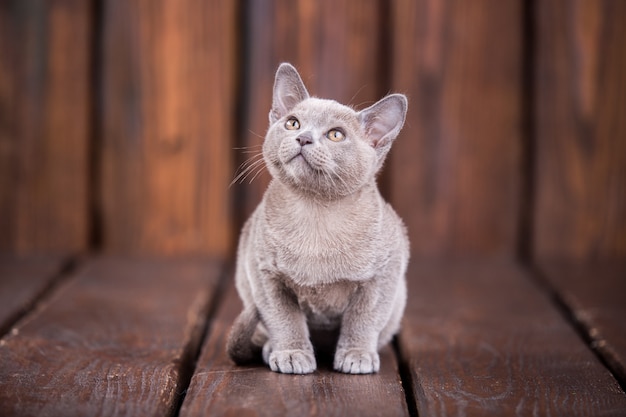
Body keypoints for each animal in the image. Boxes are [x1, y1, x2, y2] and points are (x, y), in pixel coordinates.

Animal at [227, 62, 408, 374]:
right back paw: (271, 349)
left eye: (336, 135)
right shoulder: (265, 275)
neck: (316, 213)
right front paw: (292, 354)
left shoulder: (383, 275)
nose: (303, 138)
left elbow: (362, 320)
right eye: (293, 123)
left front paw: (357, 355)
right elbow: (285, 320)